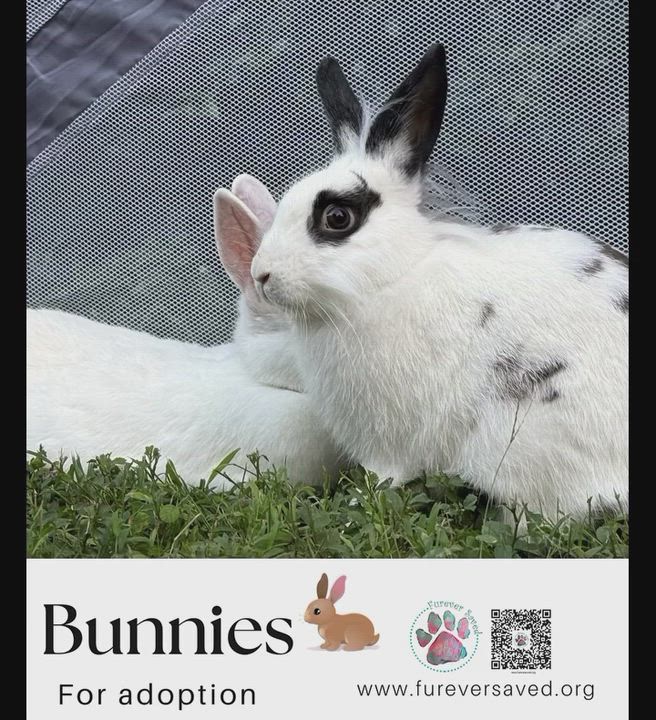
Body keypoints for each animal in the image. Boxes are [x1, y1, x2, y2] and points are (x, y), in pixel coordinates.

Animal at [249, 43, 628, 519]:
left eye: (337, 217)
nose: (260, 274)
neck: (392, 279)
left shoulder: (389, 439)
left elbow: (383, 475)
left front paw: (359, 500)